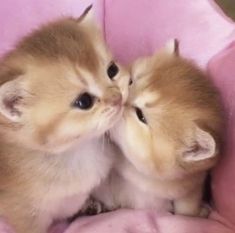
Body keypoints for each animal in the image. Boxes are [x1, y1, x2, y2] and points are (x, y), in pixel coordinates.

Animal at [0, 5, 130, 233]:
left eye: (112, 70)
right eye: (84, 101)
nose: (118, 98)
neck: (76, 150)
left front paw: (90, 205)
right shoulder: (24, 214)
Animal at [92, 39, 223, 217]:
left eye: (141, 115)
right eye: (130, 81)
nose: (117, 100)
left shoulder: (192, 183)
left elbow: (185, 208)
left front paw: (197, 212)